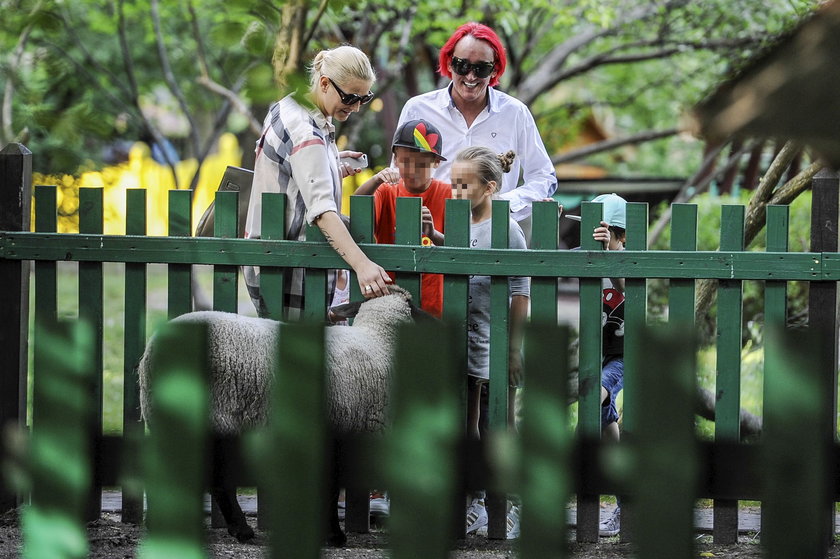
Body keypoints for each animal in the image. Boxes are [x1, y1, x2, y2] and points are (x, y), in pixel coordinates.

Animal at [137, 286, 430, 544]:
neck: (377, 342)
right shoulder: (339, 433)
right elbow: (330, 488)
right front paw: (333, 535)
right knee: (215, 480)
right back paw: (240, 530)